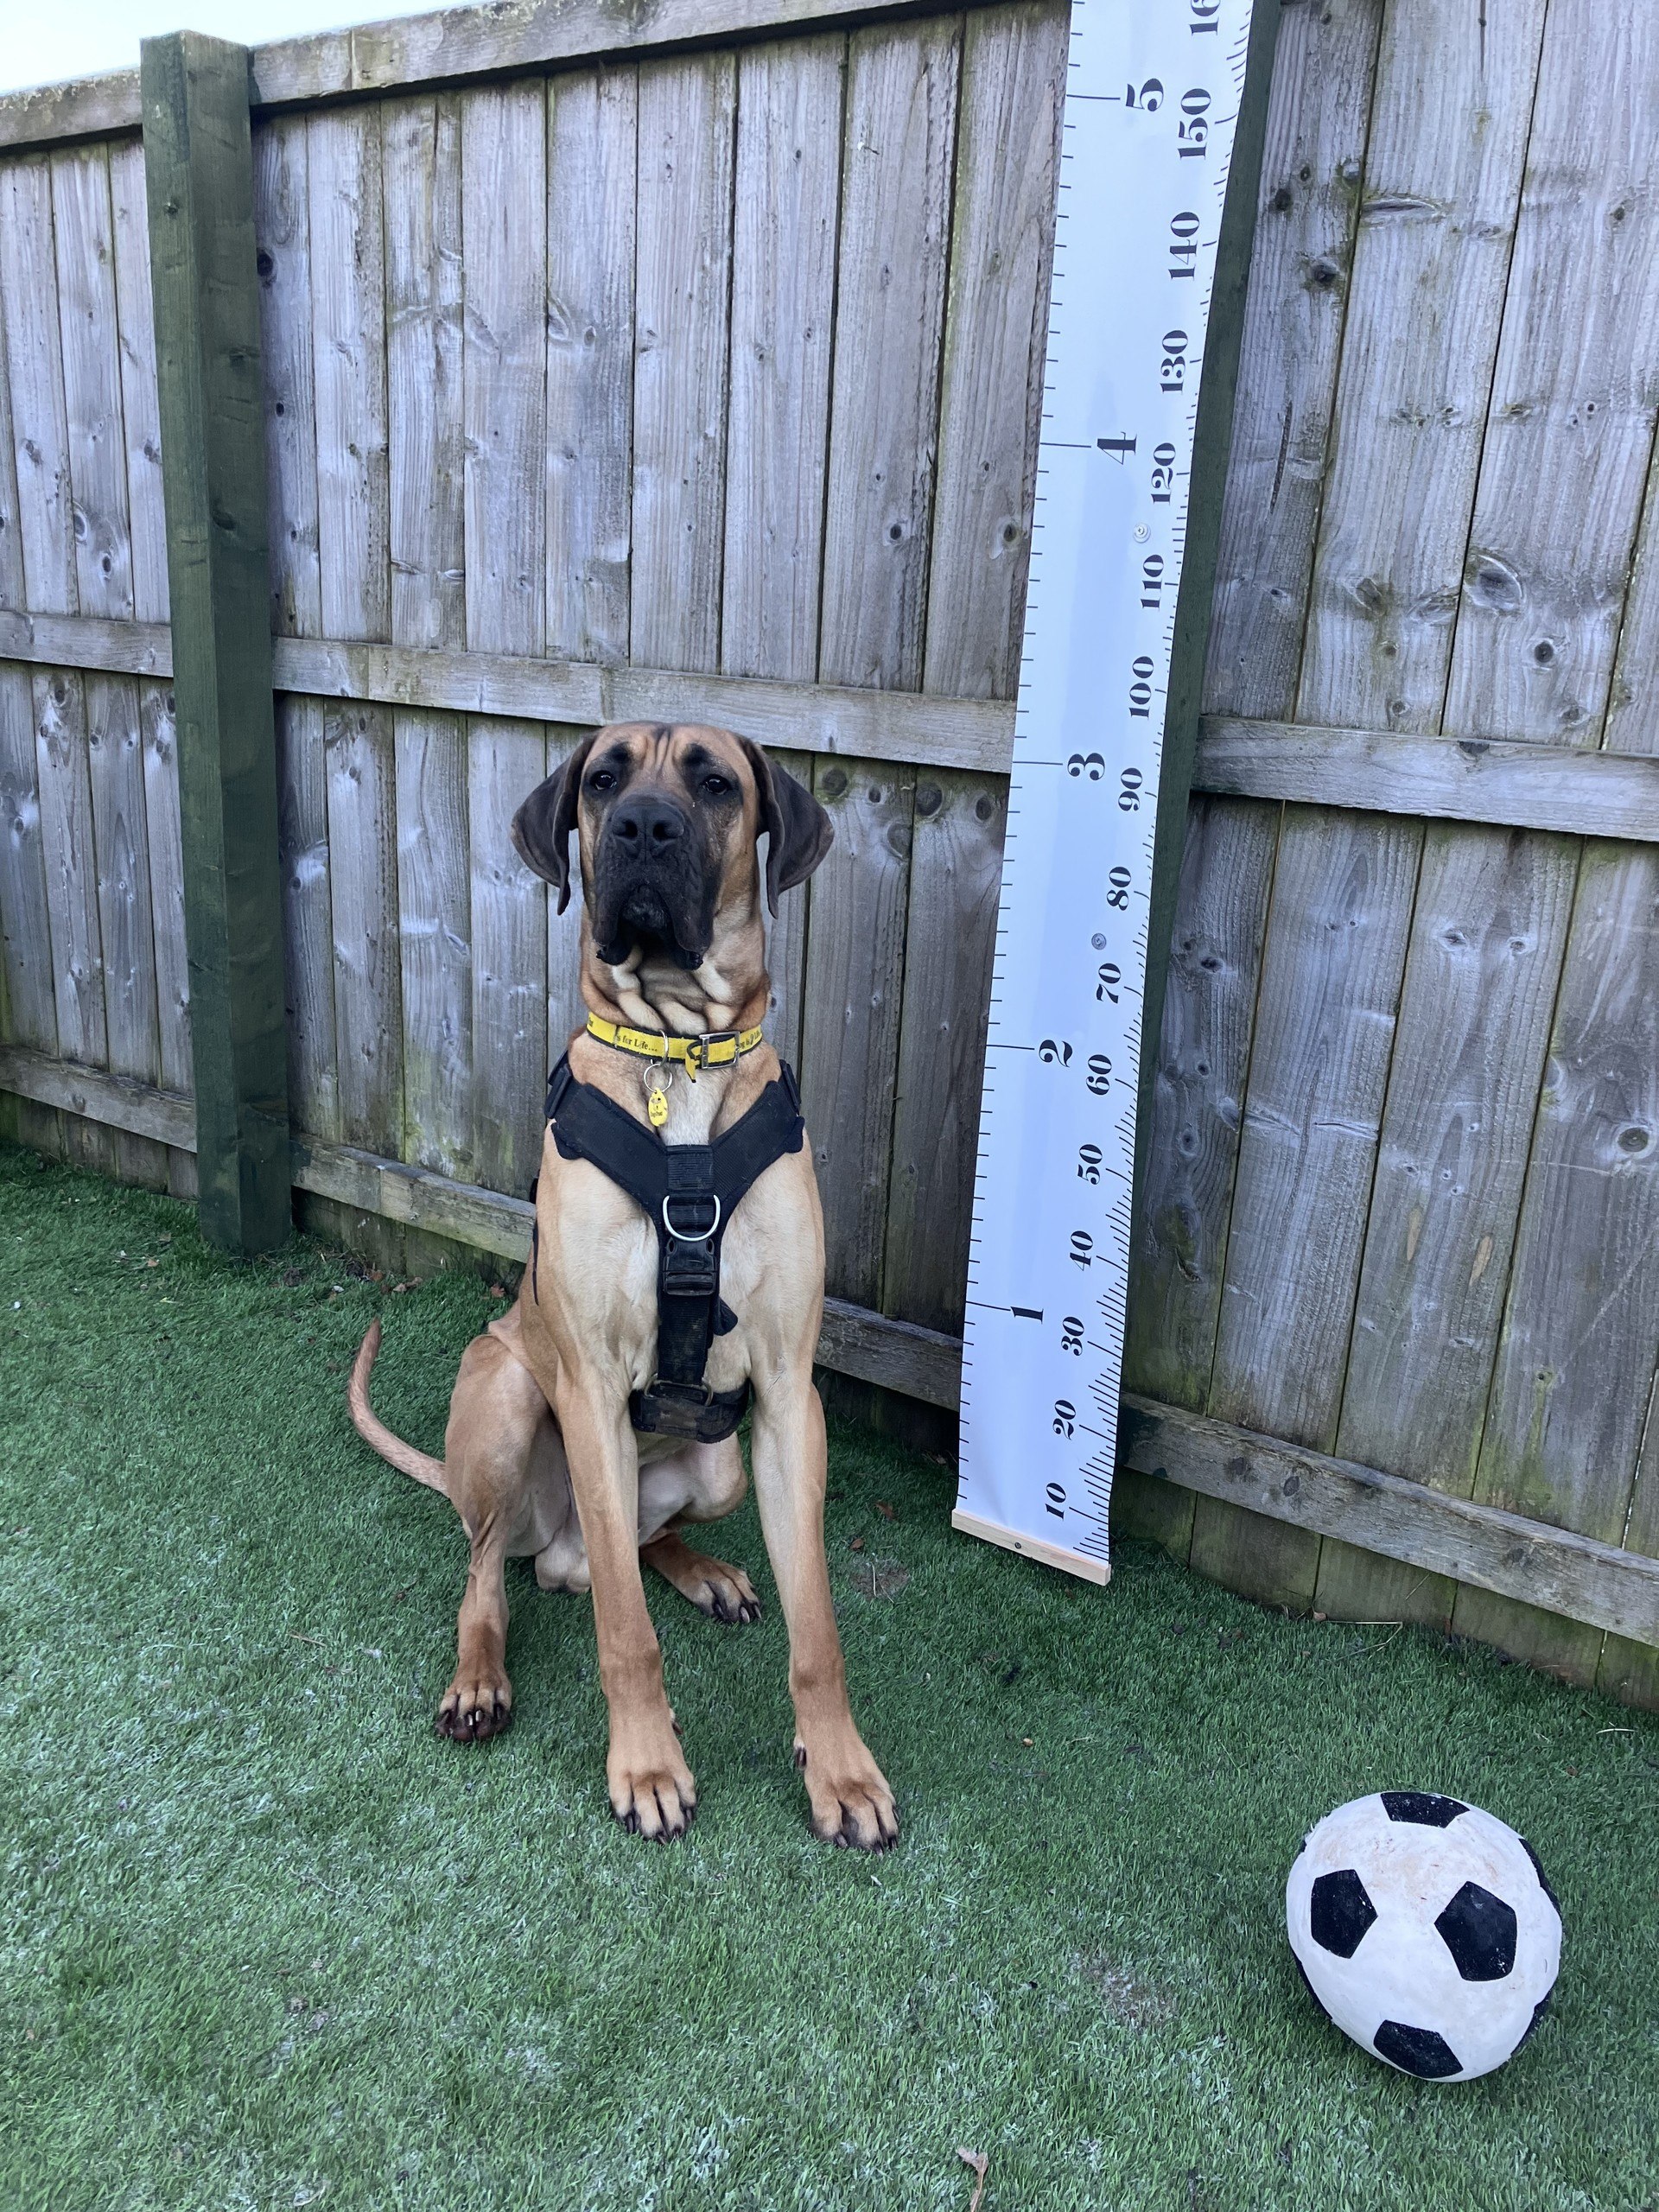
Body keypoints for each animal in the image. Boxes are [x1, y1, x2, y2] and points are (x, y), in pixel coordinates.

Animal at [349, 729, 898, 1849]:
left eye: (715, 781)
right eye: (603, 779)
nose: (645, 826)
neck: (679, 1052)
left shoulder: (789, 1395)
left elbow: (818, 1626)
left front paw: (841, 1770)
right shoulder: (591, 1388)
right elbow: (622, 1632)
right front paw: (647, 1764)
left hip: (721, 1464)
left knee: (636, 1543)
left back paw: (708, 1572)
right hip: (507, 1398)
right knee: (499, 1570)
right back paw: (480, 1676)